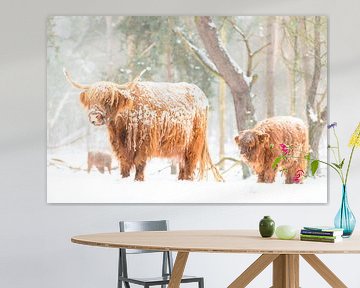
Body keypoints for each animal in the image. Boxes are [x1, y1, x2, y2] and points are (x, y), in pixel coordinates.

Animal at [64, 68, 222, 181]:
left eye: (108, 99)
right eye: (91, 100)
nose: (94, 116)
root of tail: (201, 94)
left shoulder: (144, 141)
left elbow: (139, 163)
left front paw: (138, 180)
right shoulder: (121, 145)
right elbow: (125, 163)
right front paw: (124, 178)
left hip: (194, 140)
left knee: (190, 161)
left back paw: (187, 180)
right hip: (181, 144)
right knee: (183, 163)